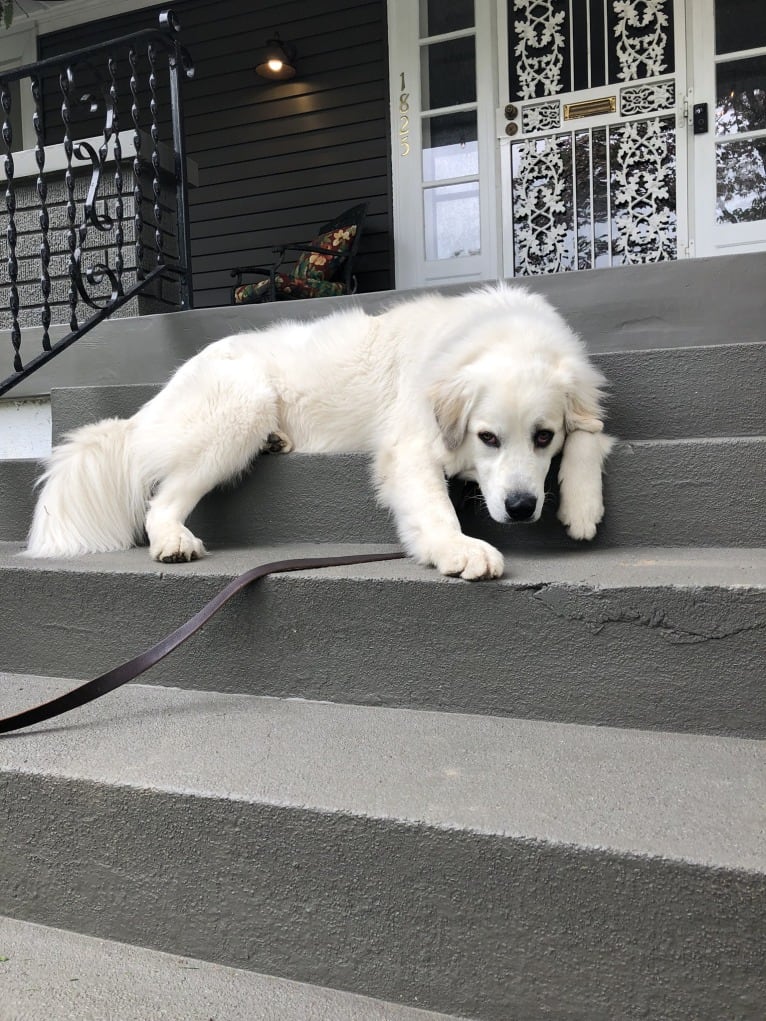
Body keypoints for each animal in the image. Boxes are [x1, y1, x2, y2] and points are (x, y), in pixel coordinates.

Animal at [24, 283, 616, 579]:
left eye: (544, 437)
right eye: (487, 438)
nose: (520, 507)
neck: (499, 334)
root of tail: (145, 411)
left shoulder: (583, 398)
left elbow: (591, 434)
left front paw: (582, 506)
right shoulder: (409, 446)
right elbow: (435, 509)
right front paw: (460, 548)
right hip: (241, 405)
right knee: (160, 504)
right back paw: (173, 541)